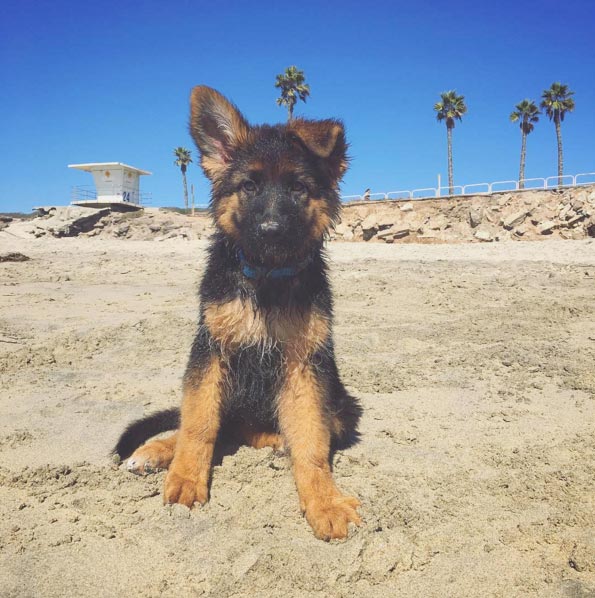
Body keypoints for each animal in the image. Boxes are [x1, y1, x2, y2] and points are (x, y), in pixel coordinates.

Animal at [114, 85, 360, 544]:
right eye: (249, 186)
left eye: (298, 188)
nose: (271, 232)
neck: (265, 279)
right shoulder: (210, 351)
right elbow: (198, 422)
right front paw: (186, 478)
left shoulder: (304, 365)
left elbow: (311, 442)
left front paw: (324, 501)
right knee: (209, 423)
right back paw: (155, 452)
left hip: (340, 402)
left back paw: (272, 437)